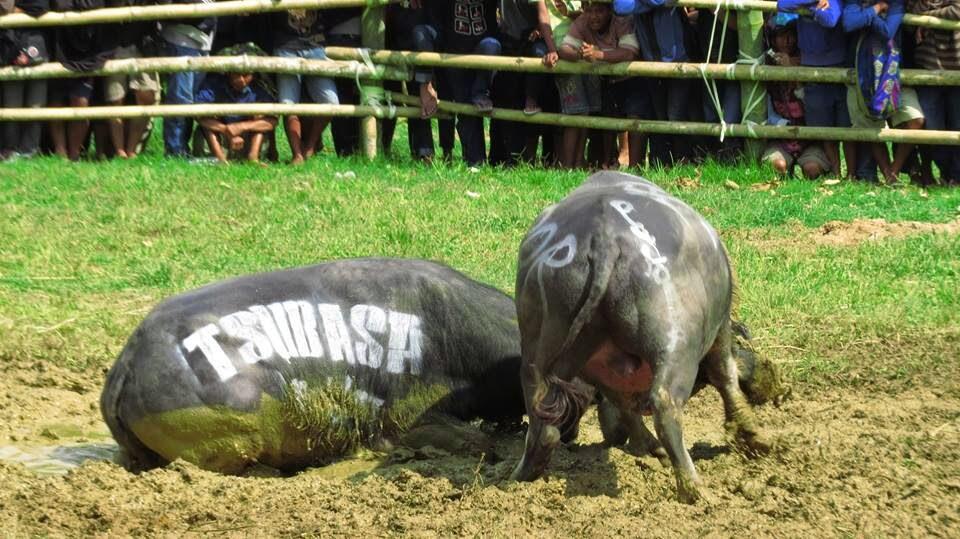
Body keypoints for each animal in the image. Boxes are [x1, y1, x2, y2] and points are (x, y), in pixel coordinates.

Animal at [510, 172, 788, 502]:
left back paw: (520, 476)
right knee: (666, 404)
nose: (781, 387)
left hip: (540, 346)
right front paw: (758, 440)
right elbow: (726, 377)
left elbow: (624, 406)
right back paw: (695, 490)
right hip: (675, 343)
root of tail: (602, 235)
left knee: (543, 423)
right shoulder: (720, 329)